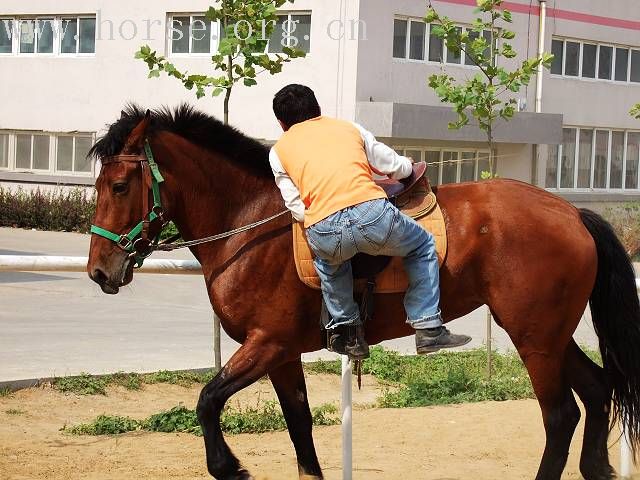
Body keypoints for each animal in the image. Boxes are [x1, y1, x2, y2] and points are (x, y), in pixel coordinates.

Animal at [86, 107, 640, 480]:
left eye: (118, 186)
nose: (98, 271)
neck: (251, 223)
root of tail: (571, 212)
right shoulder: (282, 355)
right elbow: (300, 429)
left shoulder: (267, 344)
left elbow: (206, 400)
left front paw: (227, 465)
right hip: (548, 333)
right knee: (596, 391)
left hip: (534, 336)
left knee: (561, 415)